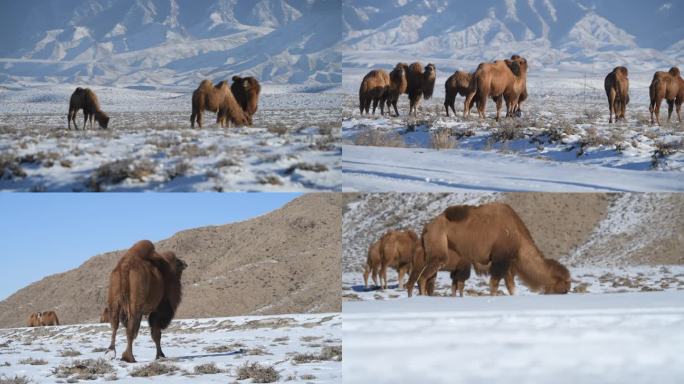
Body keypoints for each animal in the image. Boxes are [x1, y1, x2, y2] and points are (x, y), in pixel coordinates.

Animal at [406, 202, 572, 298]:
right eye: (564, 285)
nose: (567, 291)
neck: (518, 238)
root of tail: (427, 228)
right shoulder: (500, 260)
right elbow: (494, 284)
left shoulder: (508, 264)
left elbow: (511, 286)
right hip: (439, 251)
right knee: (423, 278)